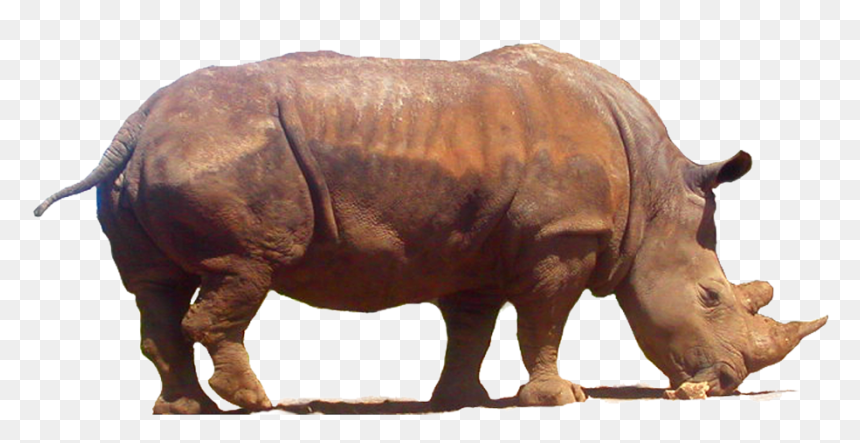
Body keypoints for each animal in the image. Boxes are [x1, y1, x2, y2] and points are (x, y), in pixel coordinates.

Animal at [34, 44, 826, 414]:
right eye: (712, 299)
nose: (726, 383)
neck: (655, 195)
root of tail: (135, 126)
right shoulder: (561, 238)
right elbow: (544, 320)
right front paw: (560, 398)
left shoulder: (473, 251)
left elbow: (471, 327)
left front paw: (461, 402)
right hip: (225, 154)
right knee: (243, 268)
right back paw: (257, 404)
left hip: (170, 158)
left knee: (157, 287)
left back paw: (186, 410)